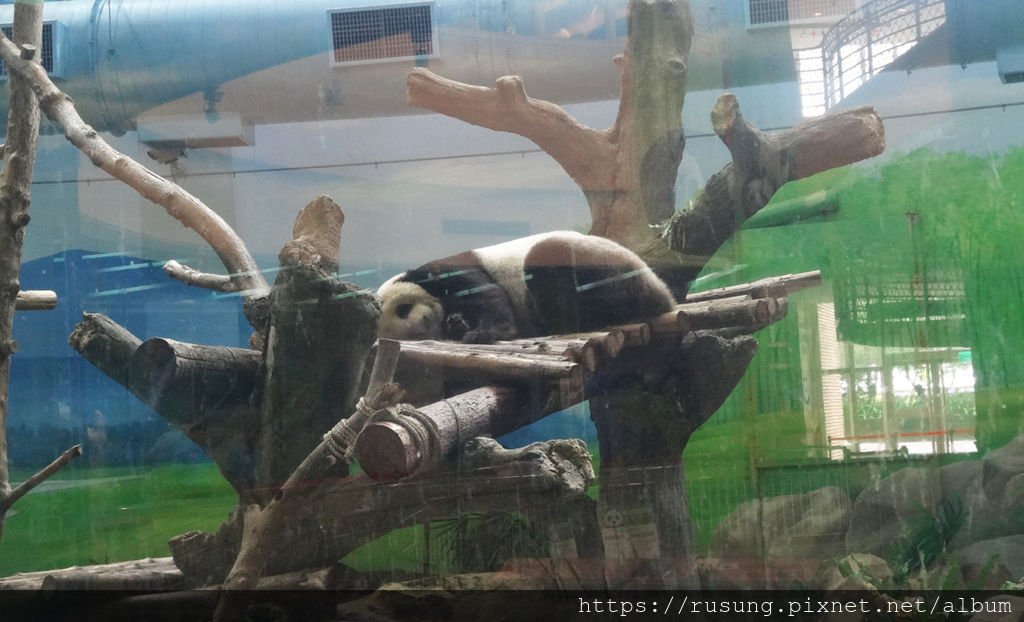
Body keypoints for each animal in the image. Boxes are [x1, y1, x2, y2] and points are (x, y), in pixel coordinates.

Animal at [380, 231, 675, 342]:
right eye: (408, 336)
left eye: (403, 309)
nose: (421, 324)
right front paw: (457, 325)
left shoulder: (445, 270)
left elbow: (485, 295)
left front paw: (484, 332)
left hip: (599, 264)